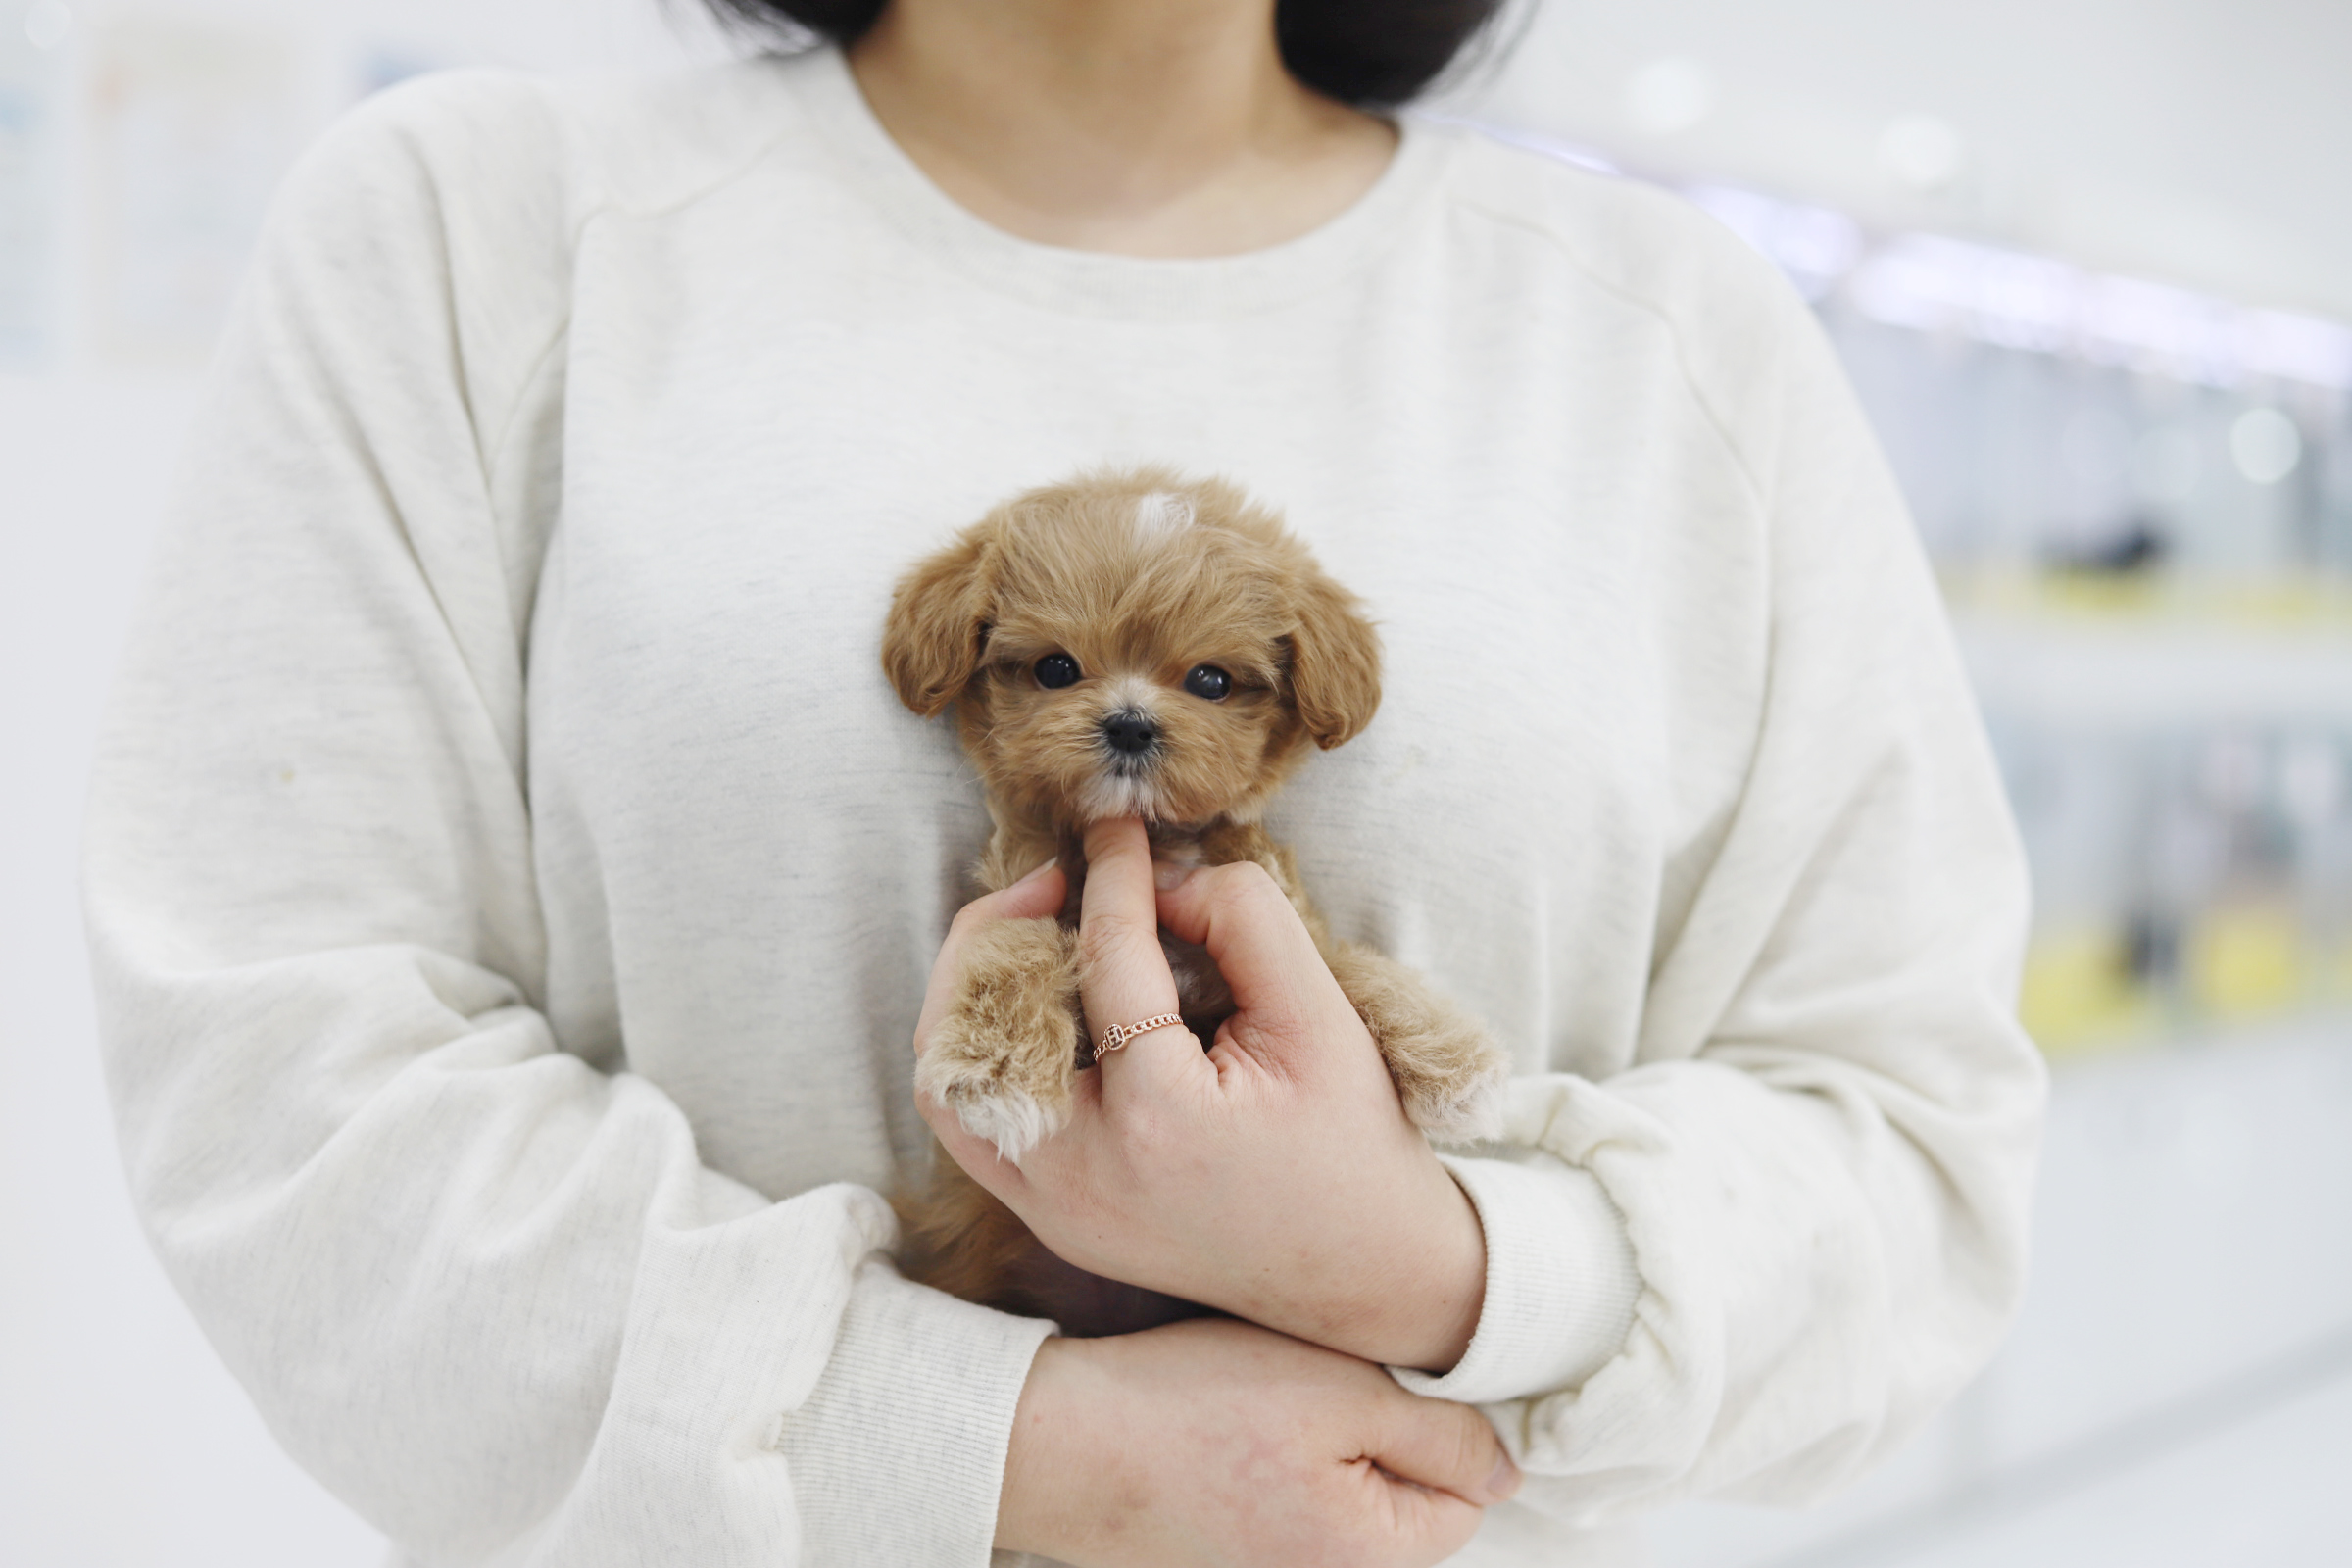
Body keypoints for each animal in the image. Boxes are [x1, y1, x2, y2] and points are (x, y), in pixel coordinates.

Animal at [884, 469, 1505, 1335]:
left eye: (1210, 680)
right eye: (1054, 669)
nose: (1130, 723)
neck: (1150, 843)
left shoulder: (1280, 911)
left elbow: (1349, 965)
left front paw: (1454, 1061)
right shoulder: (1021, 889)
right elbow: (1021, 942)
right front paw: (998, 1068)